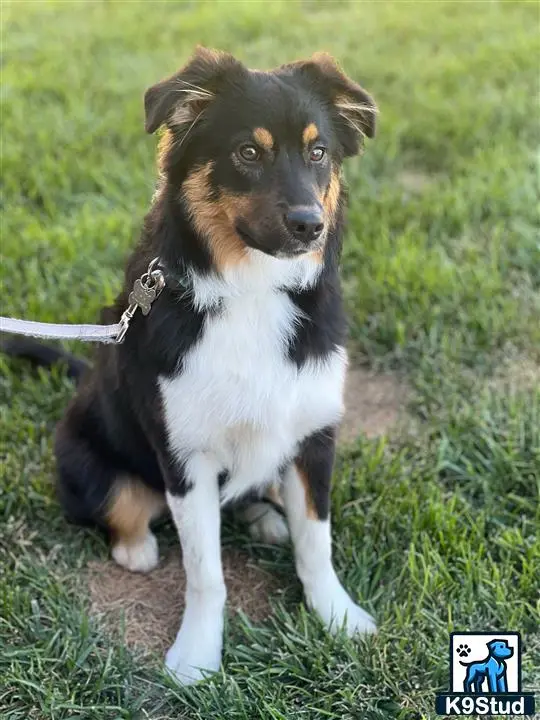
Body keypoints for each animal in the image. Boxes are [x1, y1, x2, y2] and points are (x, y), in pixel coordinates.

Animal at [4, 47, 378, 684]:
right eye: (247, 152)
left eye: (318, 151)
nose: (310, 225)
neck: (253, 291)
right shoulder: (186, 457)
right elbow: (206, 573)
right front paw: (197, 657)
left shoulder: (313, 434)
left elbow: (316, 545)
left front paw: (337, 617)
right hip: (84, 457)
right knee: (121, 506)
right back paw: (137, 547)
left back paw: (266, 515)